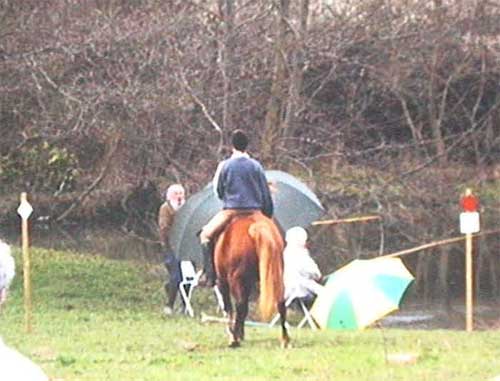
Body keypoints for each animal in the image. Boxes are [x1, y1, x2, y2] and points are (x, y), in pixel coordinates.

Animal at [214, 211, 292, 348]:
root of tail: (258, 228)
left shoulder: (223, 282)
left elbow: (229, 307)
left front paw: (234, 335)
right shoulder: (248, 283)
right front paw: (241, 334)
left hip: (235, 279)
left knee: (239, 305)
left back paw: (234, 340)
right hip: (276, 276)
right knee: (281, 302)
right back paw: (285, 339)